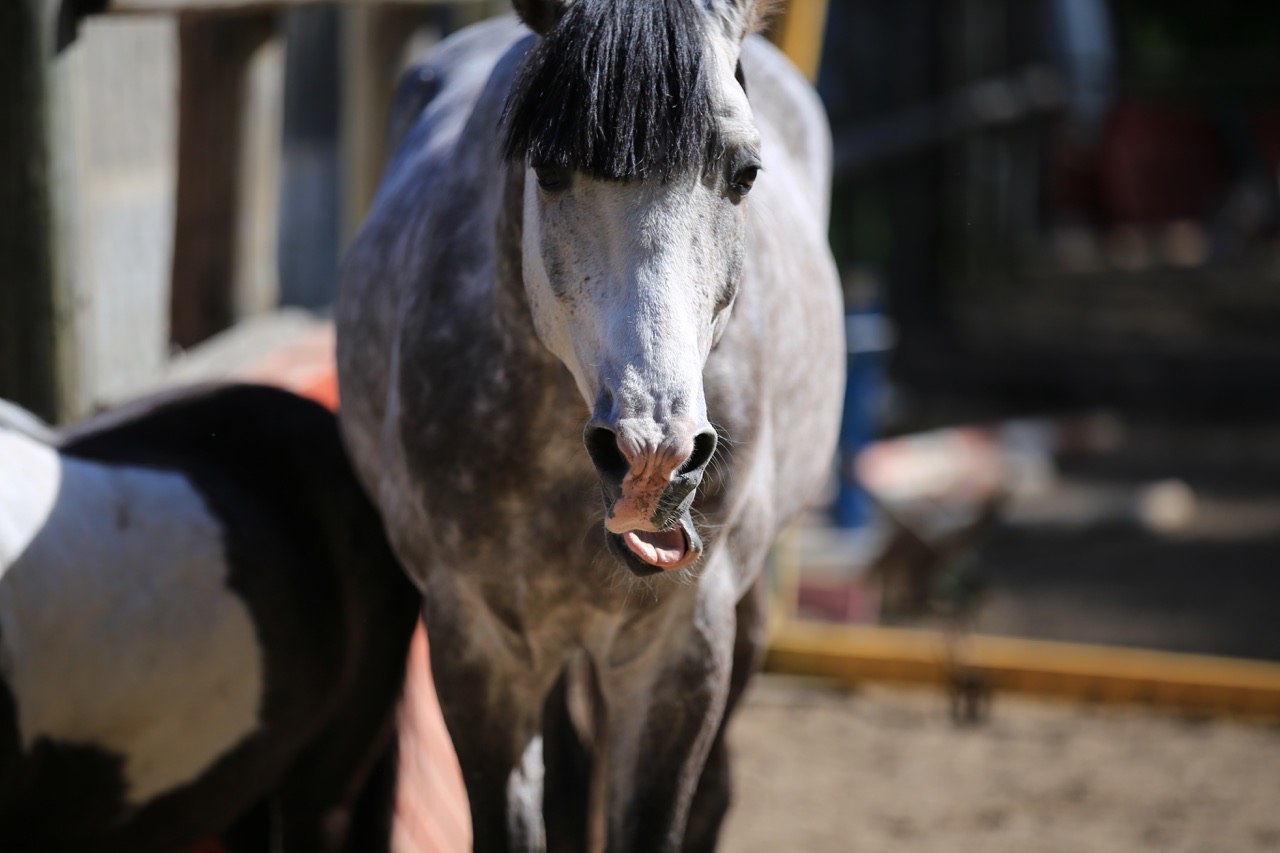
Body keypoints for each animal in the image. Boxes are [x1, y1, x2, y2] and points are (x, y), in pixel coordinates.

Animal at [335, 3, 844, 845]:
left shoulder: (680, 647)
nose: (653, 458)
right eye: (546, 168)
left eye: (745, 173)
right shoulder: (479, 646)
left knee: (712, 790)